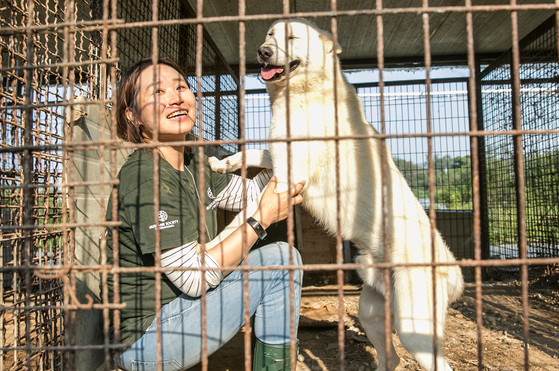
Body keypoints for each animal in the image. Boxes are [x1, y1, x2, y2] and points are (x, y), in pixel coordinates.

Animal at [210, 20, 464, 371]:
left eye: (292, 37)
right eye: (270, 35)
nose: (263, 52)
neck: (303, 93)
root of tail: (452, 272)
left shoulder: (287, 179)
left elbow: (241, 220)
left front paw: (208, 254)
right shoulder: (278, 160)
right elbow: (251, 154)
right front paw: (222, 163)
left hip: (414, 330)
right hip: (371, 313)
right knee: (391, 358)